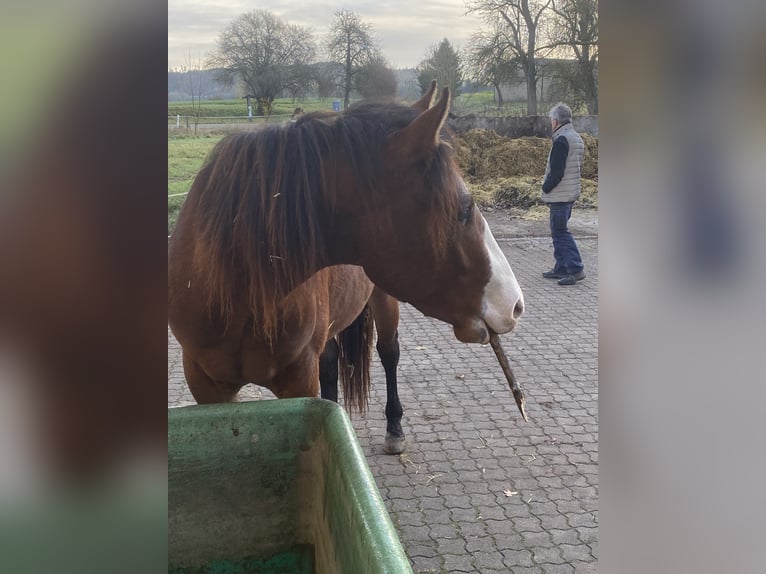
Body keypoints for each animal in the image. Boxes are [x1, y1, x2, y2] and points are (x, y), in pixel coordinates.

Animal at [167, 82, 525, 452]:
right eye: (465, 208)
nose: (515, 304)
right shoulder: (206, 386)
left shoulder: (297, 381)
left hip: (384, 301)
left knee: (389, 353)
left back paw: (394, 427)